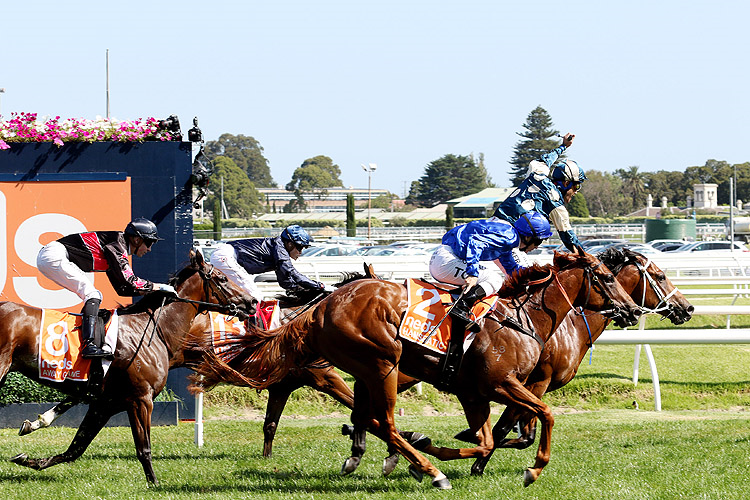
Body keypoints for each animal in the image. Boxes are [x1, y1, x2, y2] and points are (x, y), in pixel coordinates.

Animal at [2, 250, 258, 484]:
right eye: (222, 278)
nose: (253, 302)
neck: (152, 329)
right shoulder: (140, 400)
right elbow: (143, 448)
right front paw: (154, 484)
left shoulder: (104, 404)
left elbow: (75, 448)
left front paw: (28, 459)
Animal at [192, 250, 640, 488]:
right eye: (604, 277)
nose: (633, 310)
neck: (523, 318)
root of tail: (319, 307)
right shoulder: (502, 383)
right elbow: (541, 415)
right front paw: (532, 469)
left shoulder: (475, 392)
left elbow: (488, 440)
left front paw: (445, 450)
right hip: (381, 363)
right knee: (385, 422)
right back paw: (428, 468)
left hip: (364, 368)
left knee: (368, 417)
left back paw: (389, 454)